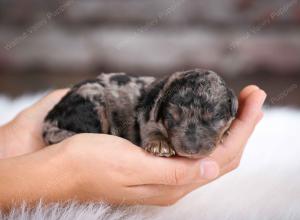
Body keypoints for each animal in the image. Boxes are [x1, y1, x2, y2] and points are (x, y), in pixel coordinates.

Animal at [42, 69, 239, 158]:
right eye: (172, 117)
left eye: (215, 117)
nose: (191, 150)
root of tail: (50, 118)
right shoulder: (147, 114)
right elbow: (151, 129)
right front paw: (160, 144)